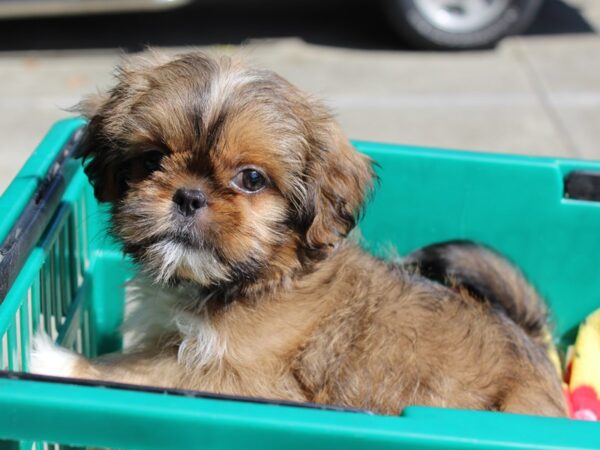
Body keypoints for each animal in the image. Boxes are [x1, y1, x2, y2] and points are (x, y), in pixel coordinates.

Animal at [31, 51, 568, 416]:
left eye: (251, 179)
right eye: (151, 160)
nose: (188, 196)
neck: (251, 280)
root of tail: (537, 345)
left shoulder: (243, 380)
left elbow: (144, 370)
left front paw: (59, 363)